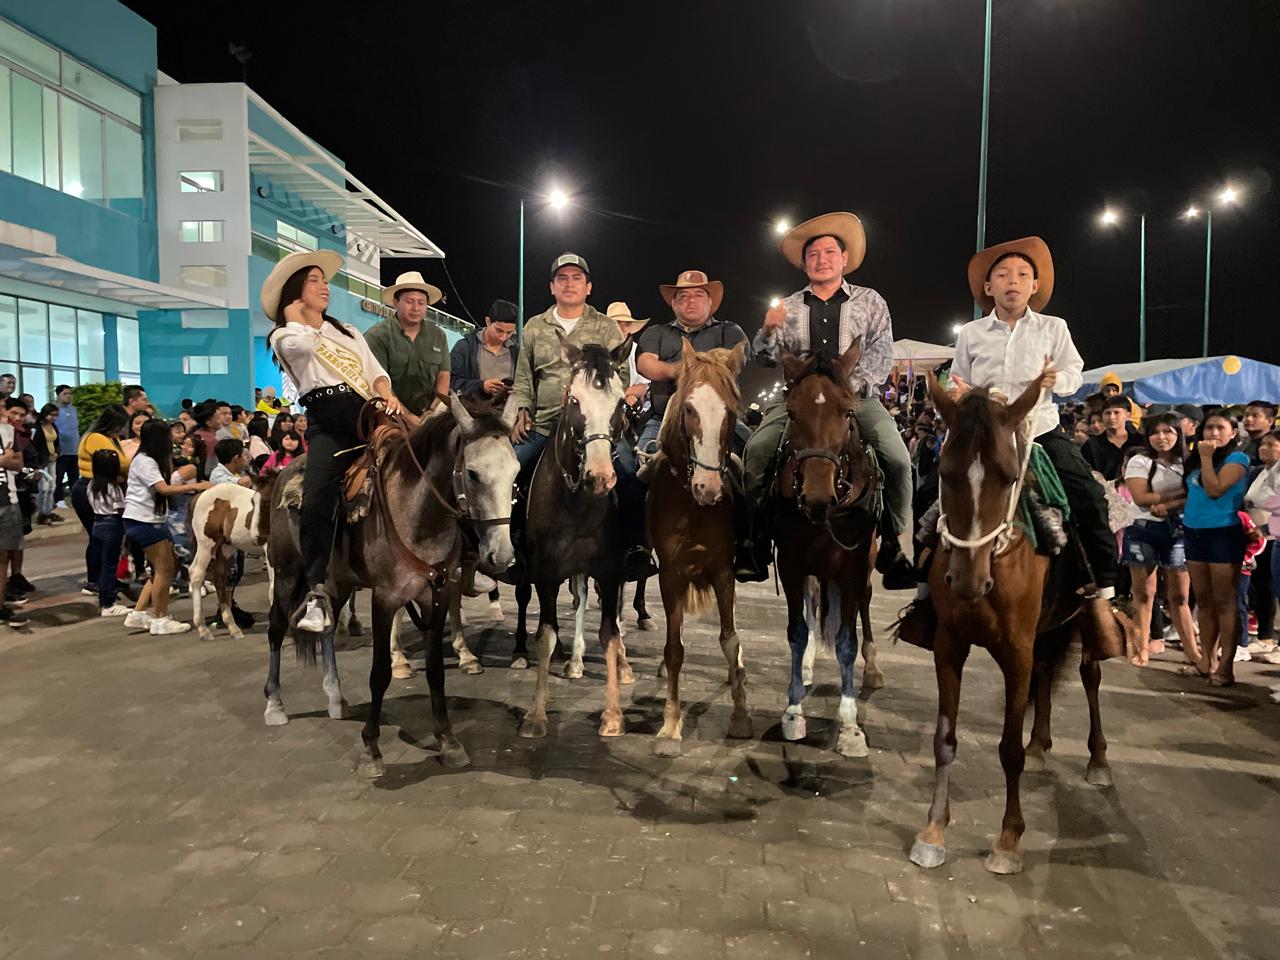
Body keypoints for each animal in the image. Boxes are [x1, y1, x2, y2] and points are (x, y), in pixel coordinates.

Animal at [263, 395, 519, 777]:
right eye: (473, 473)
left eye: (515, 473)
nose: (501, 555)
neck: (417, 516)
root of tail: (283, 475)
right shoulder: (384, 600)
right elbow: (380, 672)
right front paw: (371, 749)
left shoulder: (435, 595)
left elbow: (435, 671)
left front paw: (448, 741)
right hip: (287, 572)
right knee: (277, 629)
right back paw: (275, 704)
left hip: (338, 582)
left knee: (327, 631)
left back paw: (336, 698)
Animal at [516, 334, 635, 739]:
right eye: (574, 400)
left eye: (620, 403)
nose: (601, 477)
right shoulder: (546, 573)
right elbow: (546, 635)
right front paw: (536, 713)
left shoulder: (611, 572)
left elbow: (610, 633)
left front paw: (612, 714)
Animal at [647, 339, 751, 756]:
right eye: (689, 408)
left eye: (730, 412)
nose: (709, 488)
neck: (691, 505)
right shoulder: (670, 576)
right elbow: (674, 650)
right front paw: (669, 726)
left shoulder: (723, 572)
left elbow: (729, 640)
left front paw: (740, 715)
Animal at [772, 341, 881, 757]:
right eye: (791, 412)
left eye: (848, 411)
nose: (817, 496)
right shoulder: (790, 563)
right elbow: (797, 631)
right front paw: (793, 710)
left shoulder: (853, 566)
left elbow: (847, 640)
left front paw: (850, 726)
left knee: (864, 603)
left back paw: (873, 668)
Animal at [908, 372, 1128, 875]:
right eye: (944, 473)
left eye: (1008, 477)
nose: (967, 582)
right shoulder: (950, 646)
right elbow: (944, 739)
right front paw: (933, 832)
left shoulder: (1015, 651)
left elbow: (1007, 749)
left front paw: (1008, 841)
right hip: (1044, 632)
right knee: (1046, 673)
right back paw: (1041, 745)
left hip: (1081, 620)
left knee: (1089, 675)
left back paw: (1098, 760)